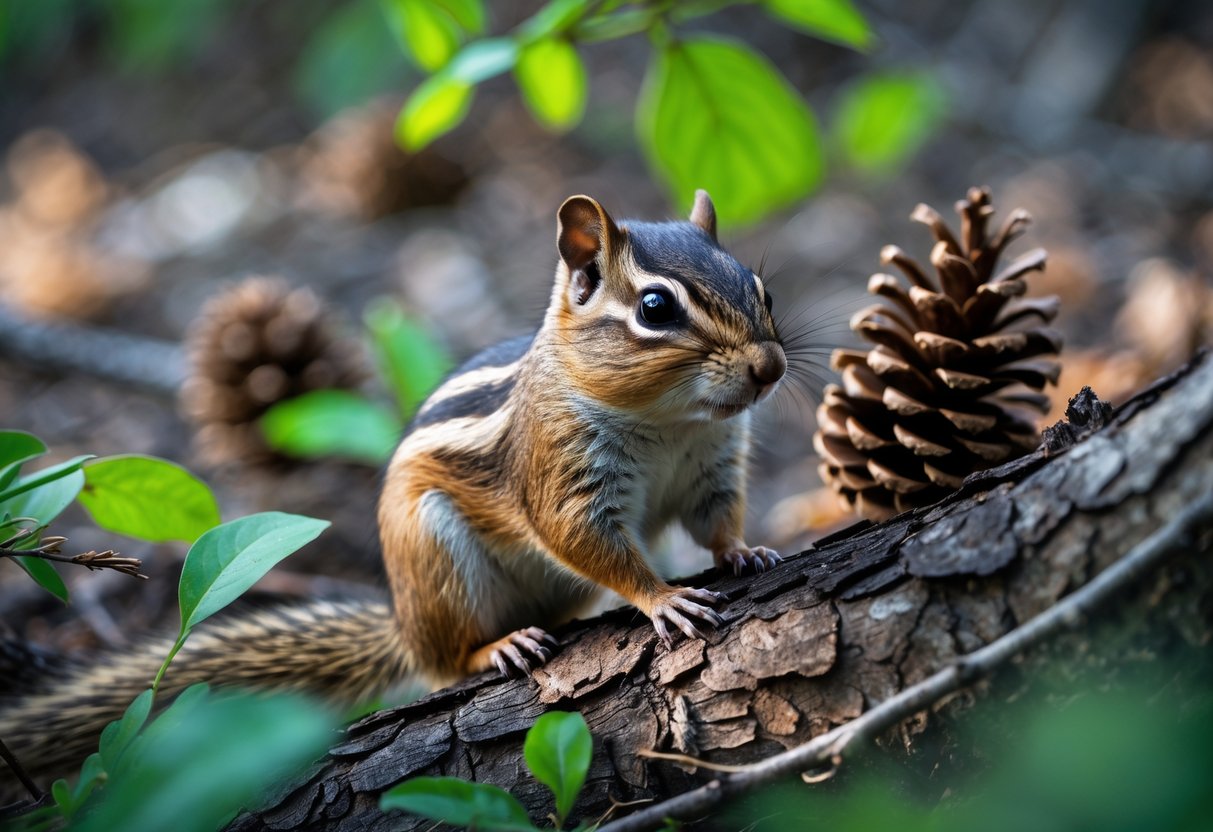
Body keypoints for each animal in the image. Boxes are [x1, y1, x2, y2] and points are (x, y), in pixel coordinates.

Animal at [0, 190, 786, 796]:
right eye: (655, 307)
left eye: (763, 290)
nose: (770, 368)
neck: (670, 425)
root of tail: (403, 625)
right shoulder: (562, 475)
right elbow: (587, 541)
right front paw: (663, 597)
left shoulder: (712, 466)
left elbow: (716, 521)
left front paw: (745, 553)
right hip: (432, 551)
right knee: (442, 661)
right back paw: (496, 647)